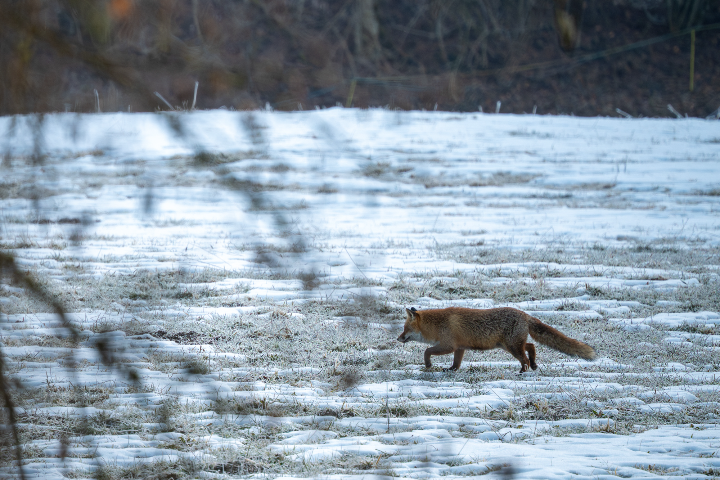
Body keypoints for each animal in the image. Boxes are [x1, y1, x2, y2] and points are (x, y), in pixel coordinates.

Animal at [397, 306, 596, 373]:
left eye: (405, 329)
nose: (398, 338)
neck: (438, 324)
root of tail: (525, 315)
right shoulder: (460, 347)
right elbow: (456, 363)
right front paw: (451, 370)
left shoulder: (449, 345)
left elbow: (426, 351)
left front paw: (428, 365)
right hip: (510, 345)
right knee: (531, 346)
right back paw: (534, 365)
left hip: (512, 347)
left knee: (524, 357)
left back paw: (523, 372)